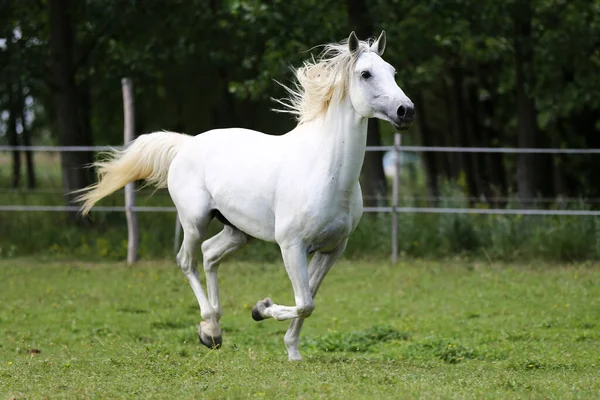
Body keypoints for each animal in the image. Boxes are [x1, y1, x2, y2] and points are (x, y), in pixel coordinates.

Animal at [77, 31, 414, 360]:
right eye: (365, 73)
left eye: (392, 71)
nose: (406, 111)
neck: (325, 170)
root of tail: (186, 145)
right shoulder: (292, 246)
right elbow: (305, 302)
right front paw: (260, 309)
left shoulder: (332, 249)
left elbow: (310, 299)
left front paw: (292, 350)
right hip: (195, 222)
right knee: (187, 260)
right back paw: (209, 328)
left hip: (238, 231)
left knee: (210, 254)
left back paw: (213, 328)